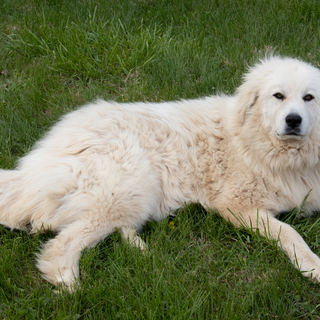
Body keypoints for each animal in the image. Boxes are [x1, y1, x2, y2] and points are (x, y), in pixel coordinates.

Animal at [0, 56, 320, 288]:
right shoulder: (237, 205)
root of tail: (30, 170)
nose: (293, 121)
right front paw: (312, 264)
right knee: (60, 248)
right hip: (130, 184)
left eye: (309, 98)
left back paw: (142, 252)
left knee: (122, 227)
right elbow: (289, 232)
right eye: (278, 96)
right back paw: (72, 287)